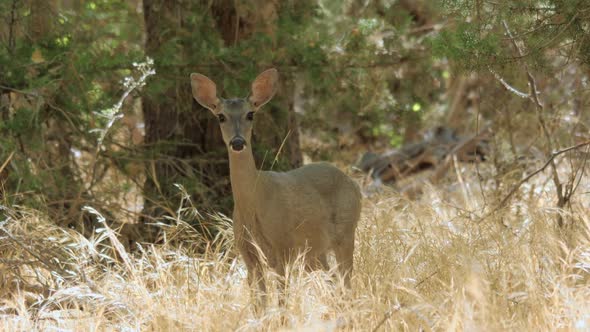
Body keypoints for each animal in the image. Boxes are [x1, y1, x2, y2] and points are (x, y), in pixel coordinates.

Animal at [192, 68, 364, 308]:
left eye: (250, 114)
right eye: (221, 116)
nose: (237, 142)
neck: (254, 206)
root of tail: (353, 183)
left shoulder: (283, 247)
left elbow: (282, 300)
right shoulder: (248, 254)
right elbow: (260, 304)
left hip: (346, 232)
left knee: (347, 282)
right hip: (315, 251)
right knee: (332, 281)